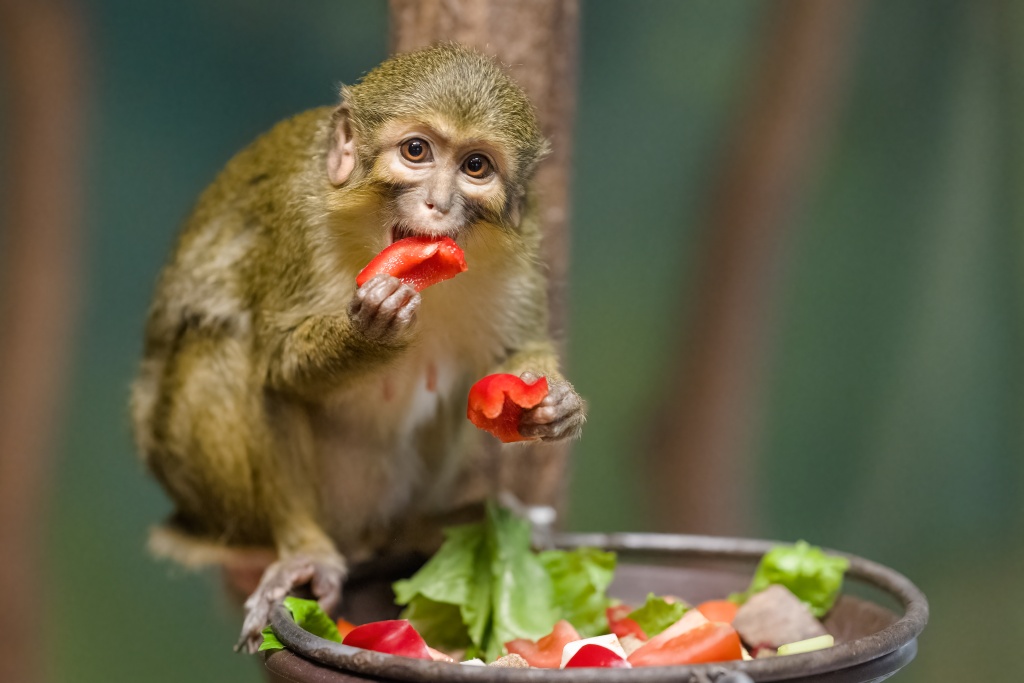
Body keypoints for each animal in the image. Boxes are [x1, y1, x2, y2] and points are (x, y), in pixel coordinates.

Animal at [130, 42, 585, 651]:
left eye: (475, 167)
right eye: (416, 151)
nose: (438, 203)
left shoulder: (517, 247)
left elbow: (518, 351)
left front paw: (557, 404)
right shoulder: (298, 222)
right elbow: (278, 365)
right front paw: (370, 330)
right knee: (224, 347)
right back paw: (305, 551)